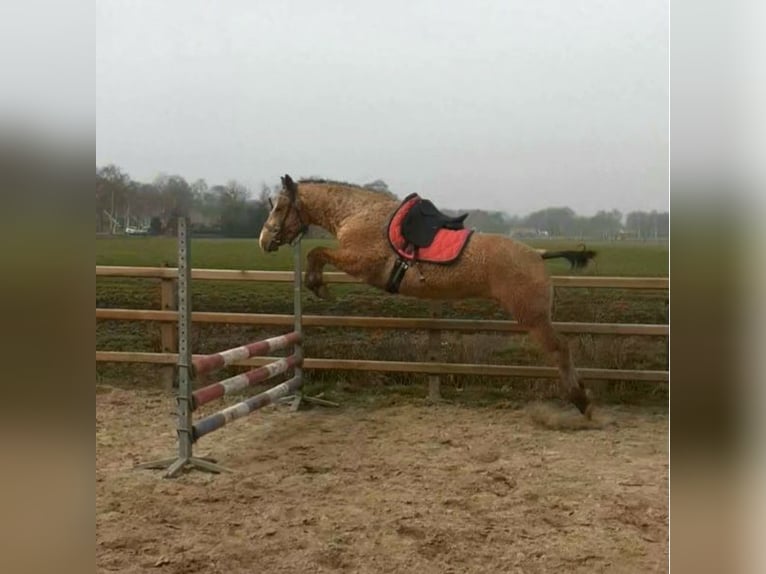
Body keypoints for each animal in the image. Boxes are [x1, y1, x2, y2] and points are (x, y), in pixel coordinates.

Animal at [259, 175, 593, 417]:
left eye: (279, 207)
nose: (264, 241)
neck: (359, 214)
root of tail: (538, 253)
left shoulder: (362, 263)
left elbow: (317, 253)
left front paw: (317, 284)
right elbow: (317, 253)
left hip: (532, 317)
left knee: (560, 349)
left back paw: (582, 401)